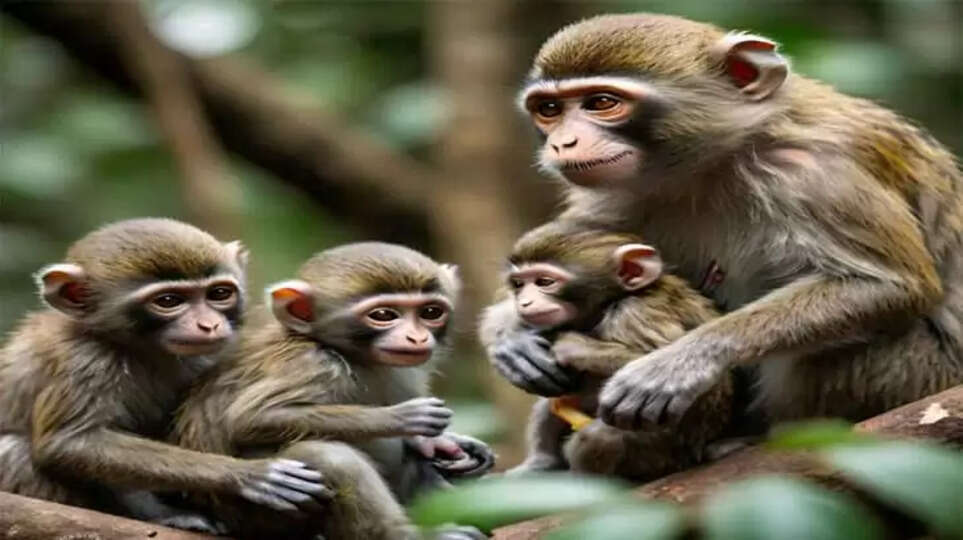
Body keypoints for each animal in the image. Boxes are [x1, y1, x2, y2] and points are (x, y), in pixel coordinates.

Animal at [0, 218, 330, 533]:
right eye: (169, 301)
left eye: (219, 294)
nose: (208, 325)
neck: (144, 349)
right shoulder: (83, 358)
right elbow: (68, 442)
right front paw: (248, 475)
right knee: (14, 450)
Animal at [173, 242, 494, 540]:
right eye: (383, 315)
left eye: (431, 312)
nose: (416, 338)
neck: (352, 355)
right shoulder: (315, 365)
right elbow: (251, 418)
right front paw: (404, 418)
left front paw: (451, 443)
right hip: (261, 516)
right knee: (328, 456)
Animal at [481, 220, 732, 480]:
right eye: (519, 284)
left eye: (544, 282)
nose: (524, 303)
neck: (611, 303)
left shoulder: (635, 314)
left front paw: (572, 346)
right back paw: (543, 463)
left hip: (664, 456)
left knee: (599, 438)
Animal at [482, 13, 963, 434]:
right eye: (549, 109)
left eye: (602, 103)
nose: (563, 143)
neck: (714, 164)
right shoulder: (611, 194)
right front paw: (510, 333)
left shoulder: (817, 176)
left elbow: (890, 285)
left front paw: (684, 360)